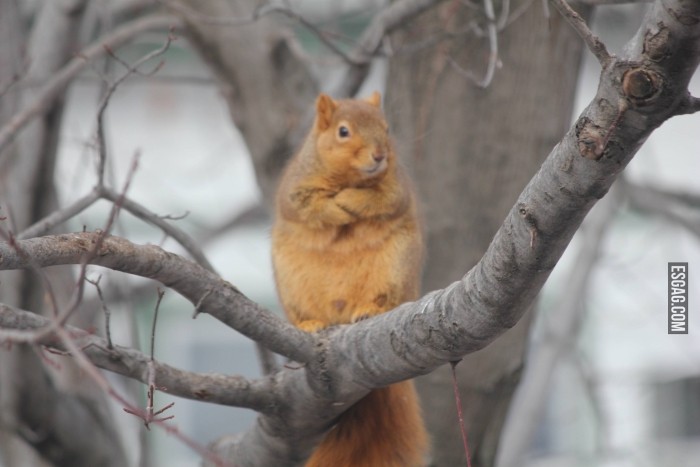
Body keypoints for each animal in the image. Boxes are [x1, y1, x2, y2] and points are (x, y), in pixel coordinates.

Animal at [272, 92, 426, 467]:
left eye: (387, 128)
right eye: (343, 131)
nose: (380, 155)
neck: (348, 177)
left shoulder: (395, 189)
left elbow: (380, 199)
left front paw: (349, 200)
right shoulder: (296, 189)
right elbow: (309, 206)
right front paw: (335, 206)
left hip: (395, 271)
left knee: (383, 299)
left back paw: (369, 309)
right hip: (292, 285)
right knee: (306, 315)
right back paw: (310, 324)